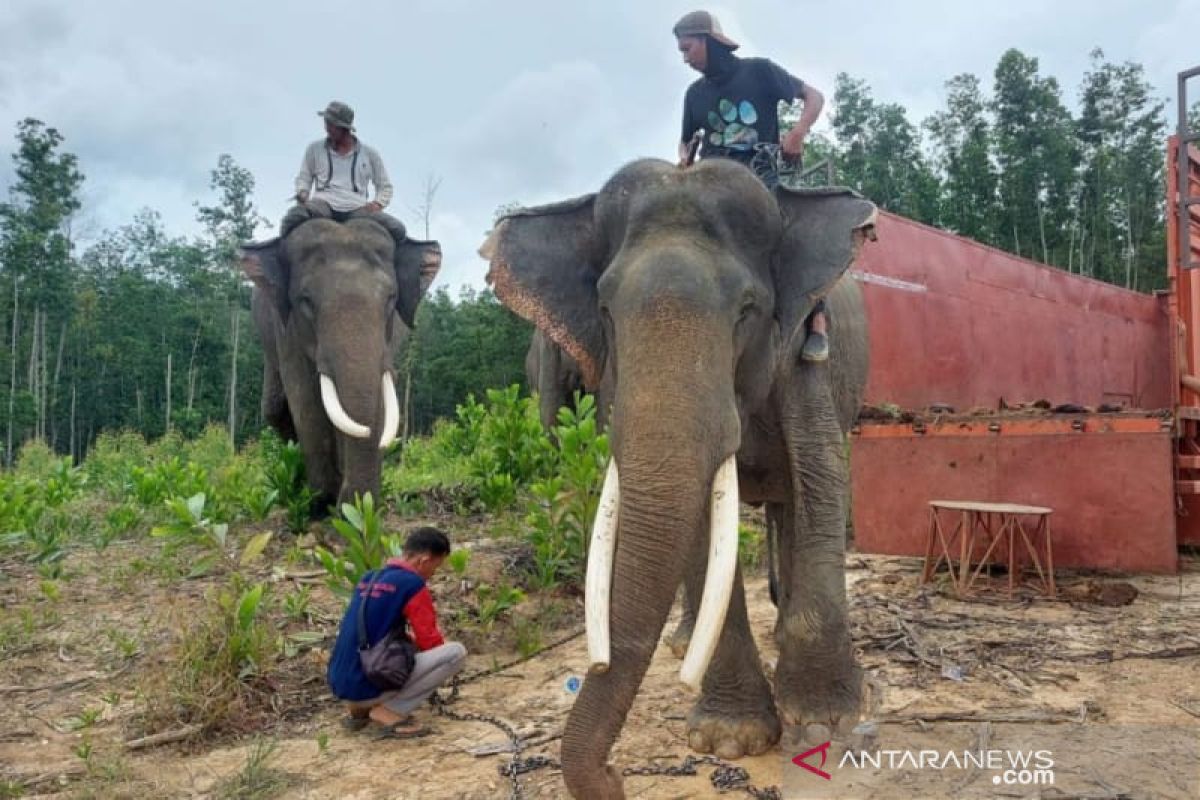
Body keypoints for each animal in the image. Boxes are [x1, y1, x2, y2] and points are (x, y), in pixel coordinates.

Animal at [238, 215, 441, 510]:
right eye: (306, 301)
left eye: (391, 299)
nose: (350, 501)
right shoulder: (286, 329)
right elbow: (306, 401)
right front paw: (322, 501)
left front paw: (348, 505)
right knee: (275, 410)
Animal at [475, 158, 873, 800]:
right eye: (605, 311)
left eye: (747, 309)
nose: (614, 775)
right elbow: (702, 525)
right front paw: (729, 741)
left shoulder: (809, 350)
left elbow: (821, 479)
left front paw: (823, 724)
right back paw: (686, 642)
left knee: (791, 505)